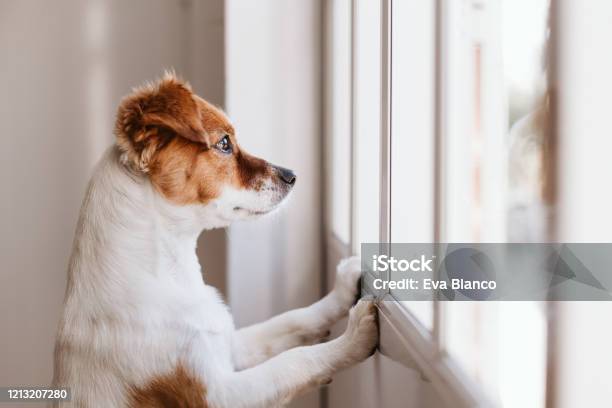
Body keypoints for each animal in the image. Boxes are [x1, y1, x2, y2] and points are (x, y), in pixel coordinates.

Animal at [52, 71, 378, 406]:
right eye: (224, 143)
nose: (292, 176)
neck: (169, 274)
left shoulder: (230, 346)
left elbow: (293, 319)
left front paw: (343, 289)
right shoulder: (218, 395)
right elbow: (293, 361)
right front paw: (354, 337)